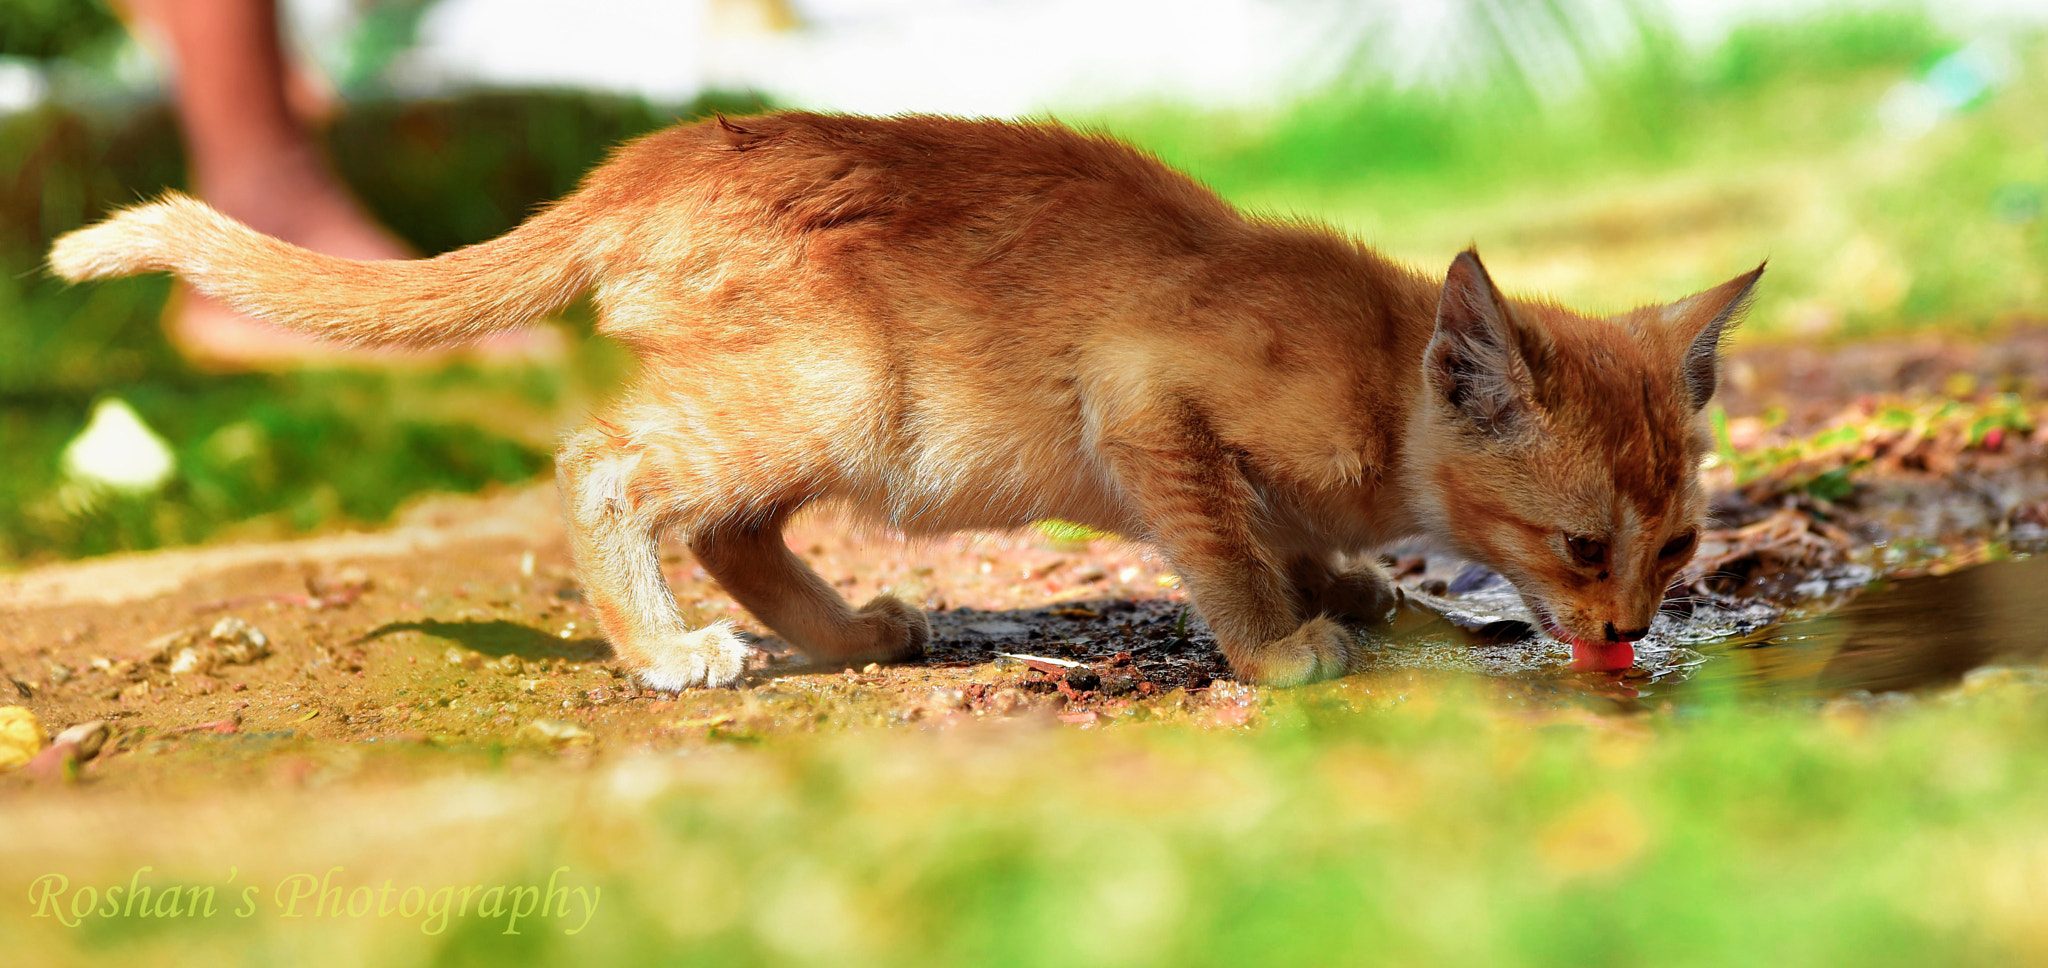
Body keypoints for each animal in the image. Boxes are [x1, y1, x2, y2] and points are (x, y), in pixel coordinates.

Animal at [56, 111, 1761, 687]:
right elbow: (1225, 544)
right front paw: (1285, 648)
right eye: (1583, 545)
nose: (1628, 632)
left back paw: (847, 633)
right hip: (840, 383)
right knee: (606, 461)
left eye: (1678, 546)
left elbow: (1295, 534)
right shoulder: (1145, 409)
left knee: (729, 525)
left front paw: (1375, 598)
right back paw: (667, 656)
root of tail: (638, 164)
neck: (1375, 357)